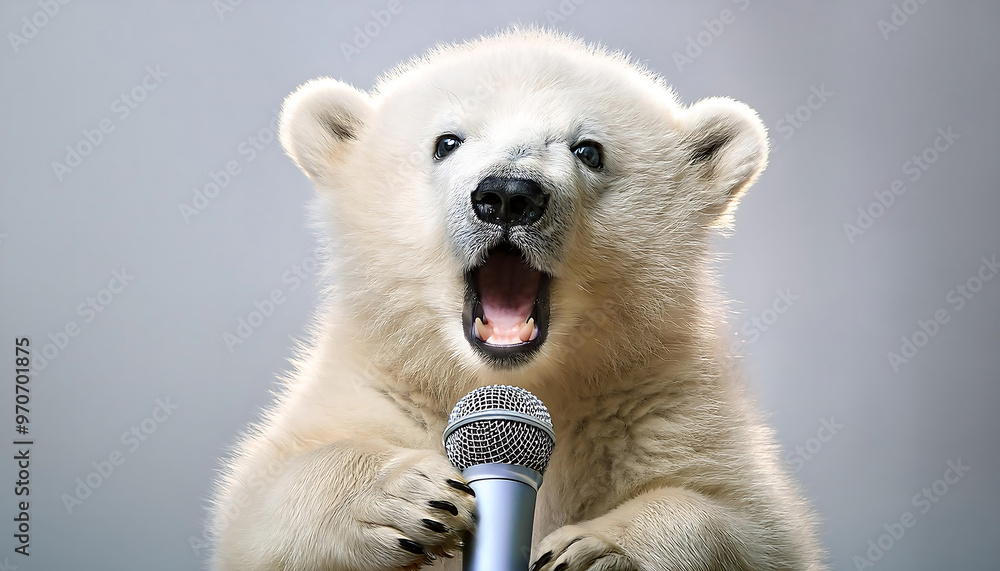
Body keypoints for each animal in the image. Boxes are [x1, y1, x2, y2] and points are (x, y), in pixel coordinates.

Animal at [208, 28, 826, 571]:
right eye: (446, 142)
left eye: (589, 150)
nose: (508, 194)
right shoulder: (380, 391)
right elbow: (262, 503)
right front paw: (405, 497)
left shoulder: (666, 411)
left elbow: (744, 524)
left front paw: (593, 549)